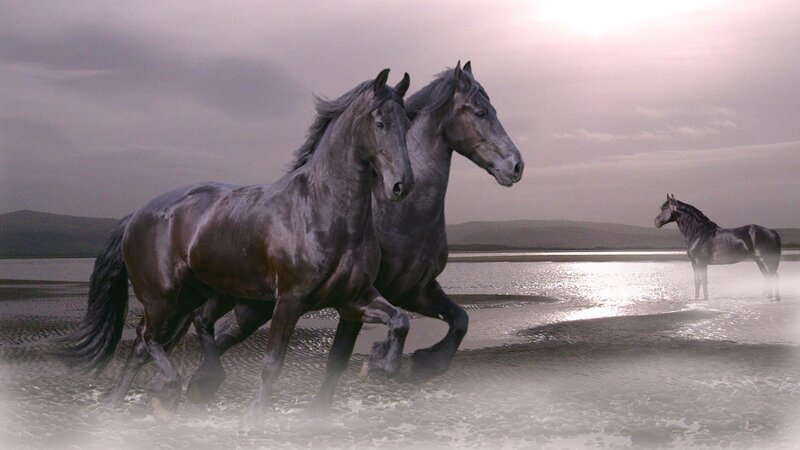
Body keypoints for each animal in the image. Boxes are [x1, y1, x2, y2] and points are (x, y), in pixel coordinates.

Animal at [57, 69, 415, 418]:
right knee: (148, 338)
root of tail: (135, 216)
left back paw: (135, 398)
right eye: (380, 122)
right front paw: (254, 416)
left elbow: (400, 321)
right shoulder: (290, 300)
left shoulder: (352, 298)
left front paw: (379, 365)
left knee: (165, 336)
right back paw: (167, 389)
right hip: (162, 297)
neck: (322, 210)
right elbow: (272, 363)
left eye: (407, 122)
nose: (402, 185)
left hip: (196, 295)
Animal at [187, 61, 525, 411]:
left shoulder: (416, 291)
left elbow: (460, 320)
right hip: (248, 301)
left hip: (254, 305)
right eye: (480, 112)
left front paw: (420, 364)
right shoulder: (358, 301)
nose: (516, 166)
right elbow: (338, 359)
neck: (404, 215)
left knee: (220, 333)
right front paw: (374, 365)